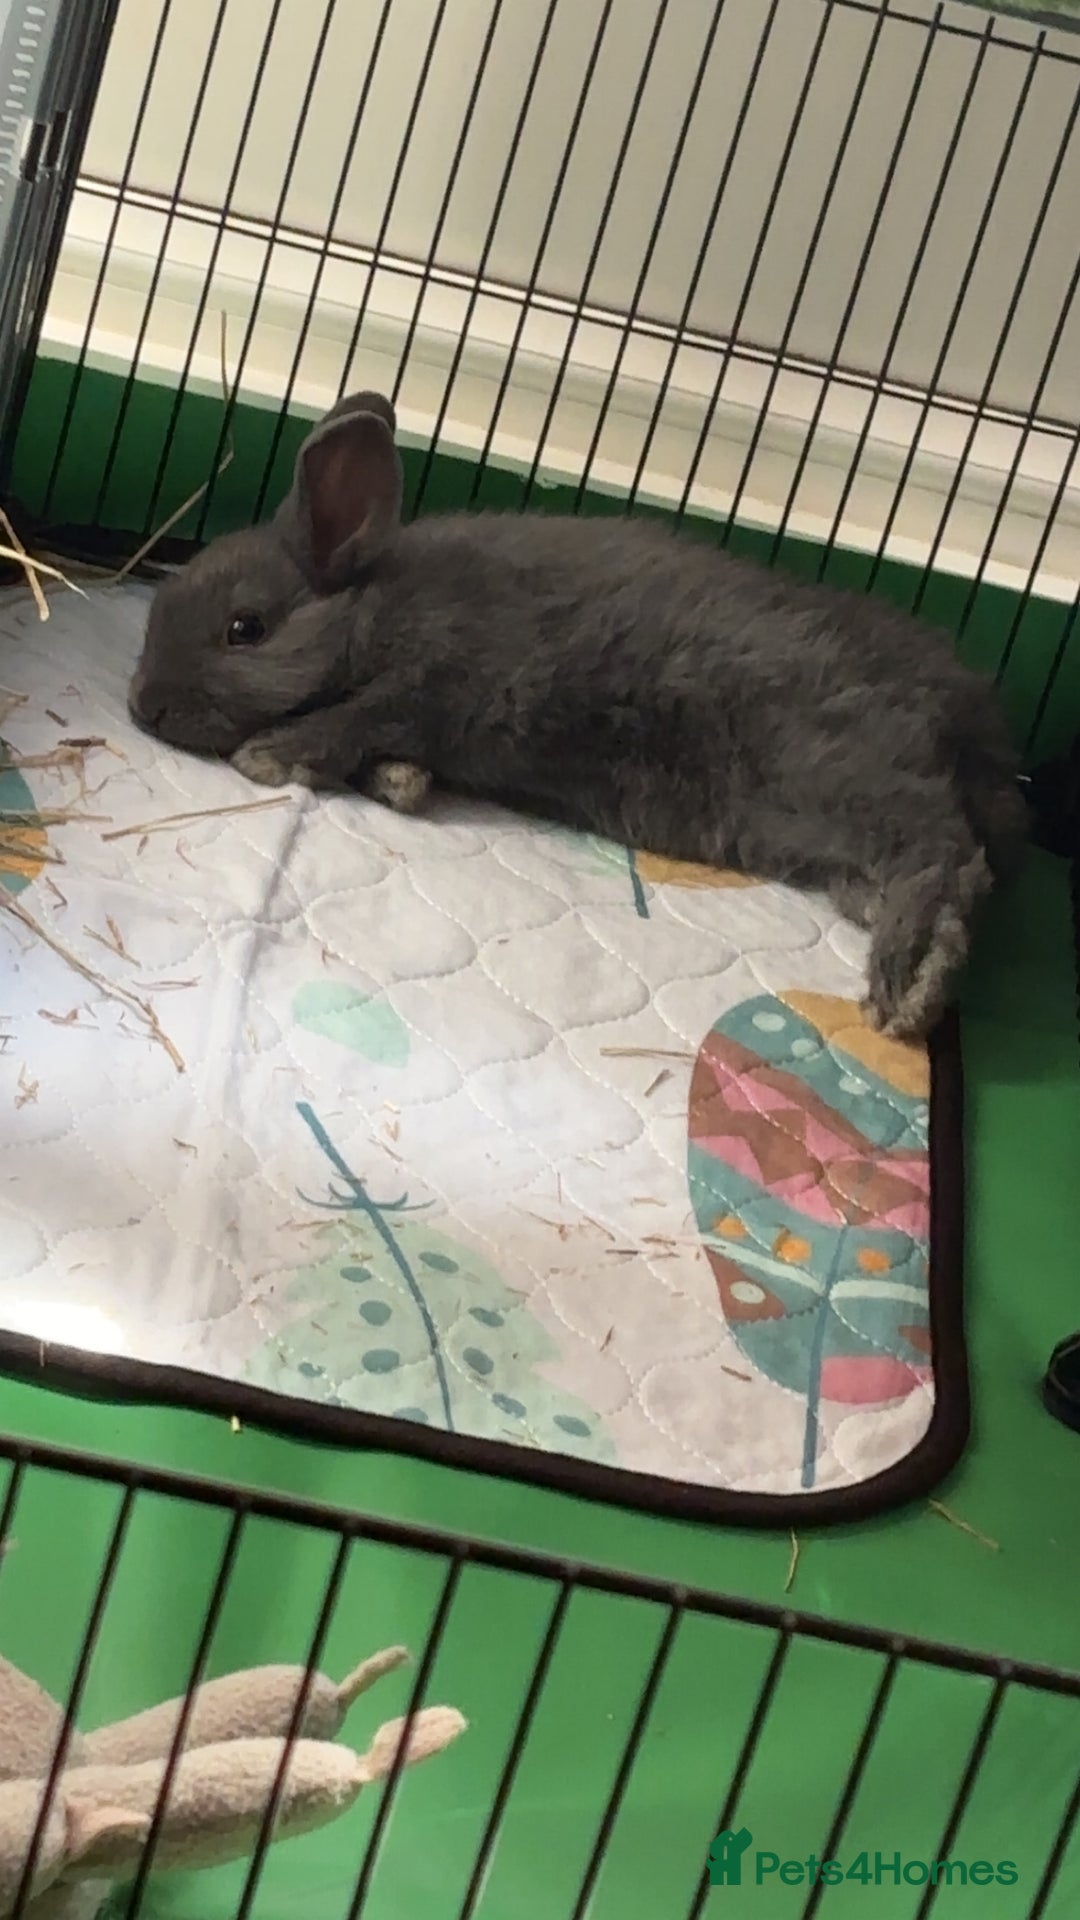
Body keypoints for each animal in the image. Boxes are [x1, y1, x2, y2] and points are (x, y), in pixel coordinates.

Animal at [129, 392, 1027, 1039]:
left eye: (245, 629)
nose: (143, 706)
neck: (367, 609)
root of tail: (968, 713)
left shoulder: (431, 679)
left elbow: (355, 721)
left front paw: (273, 755)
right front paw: (401, 784)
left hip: (842, 770)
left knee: (948, 859)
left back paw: (905, 985)